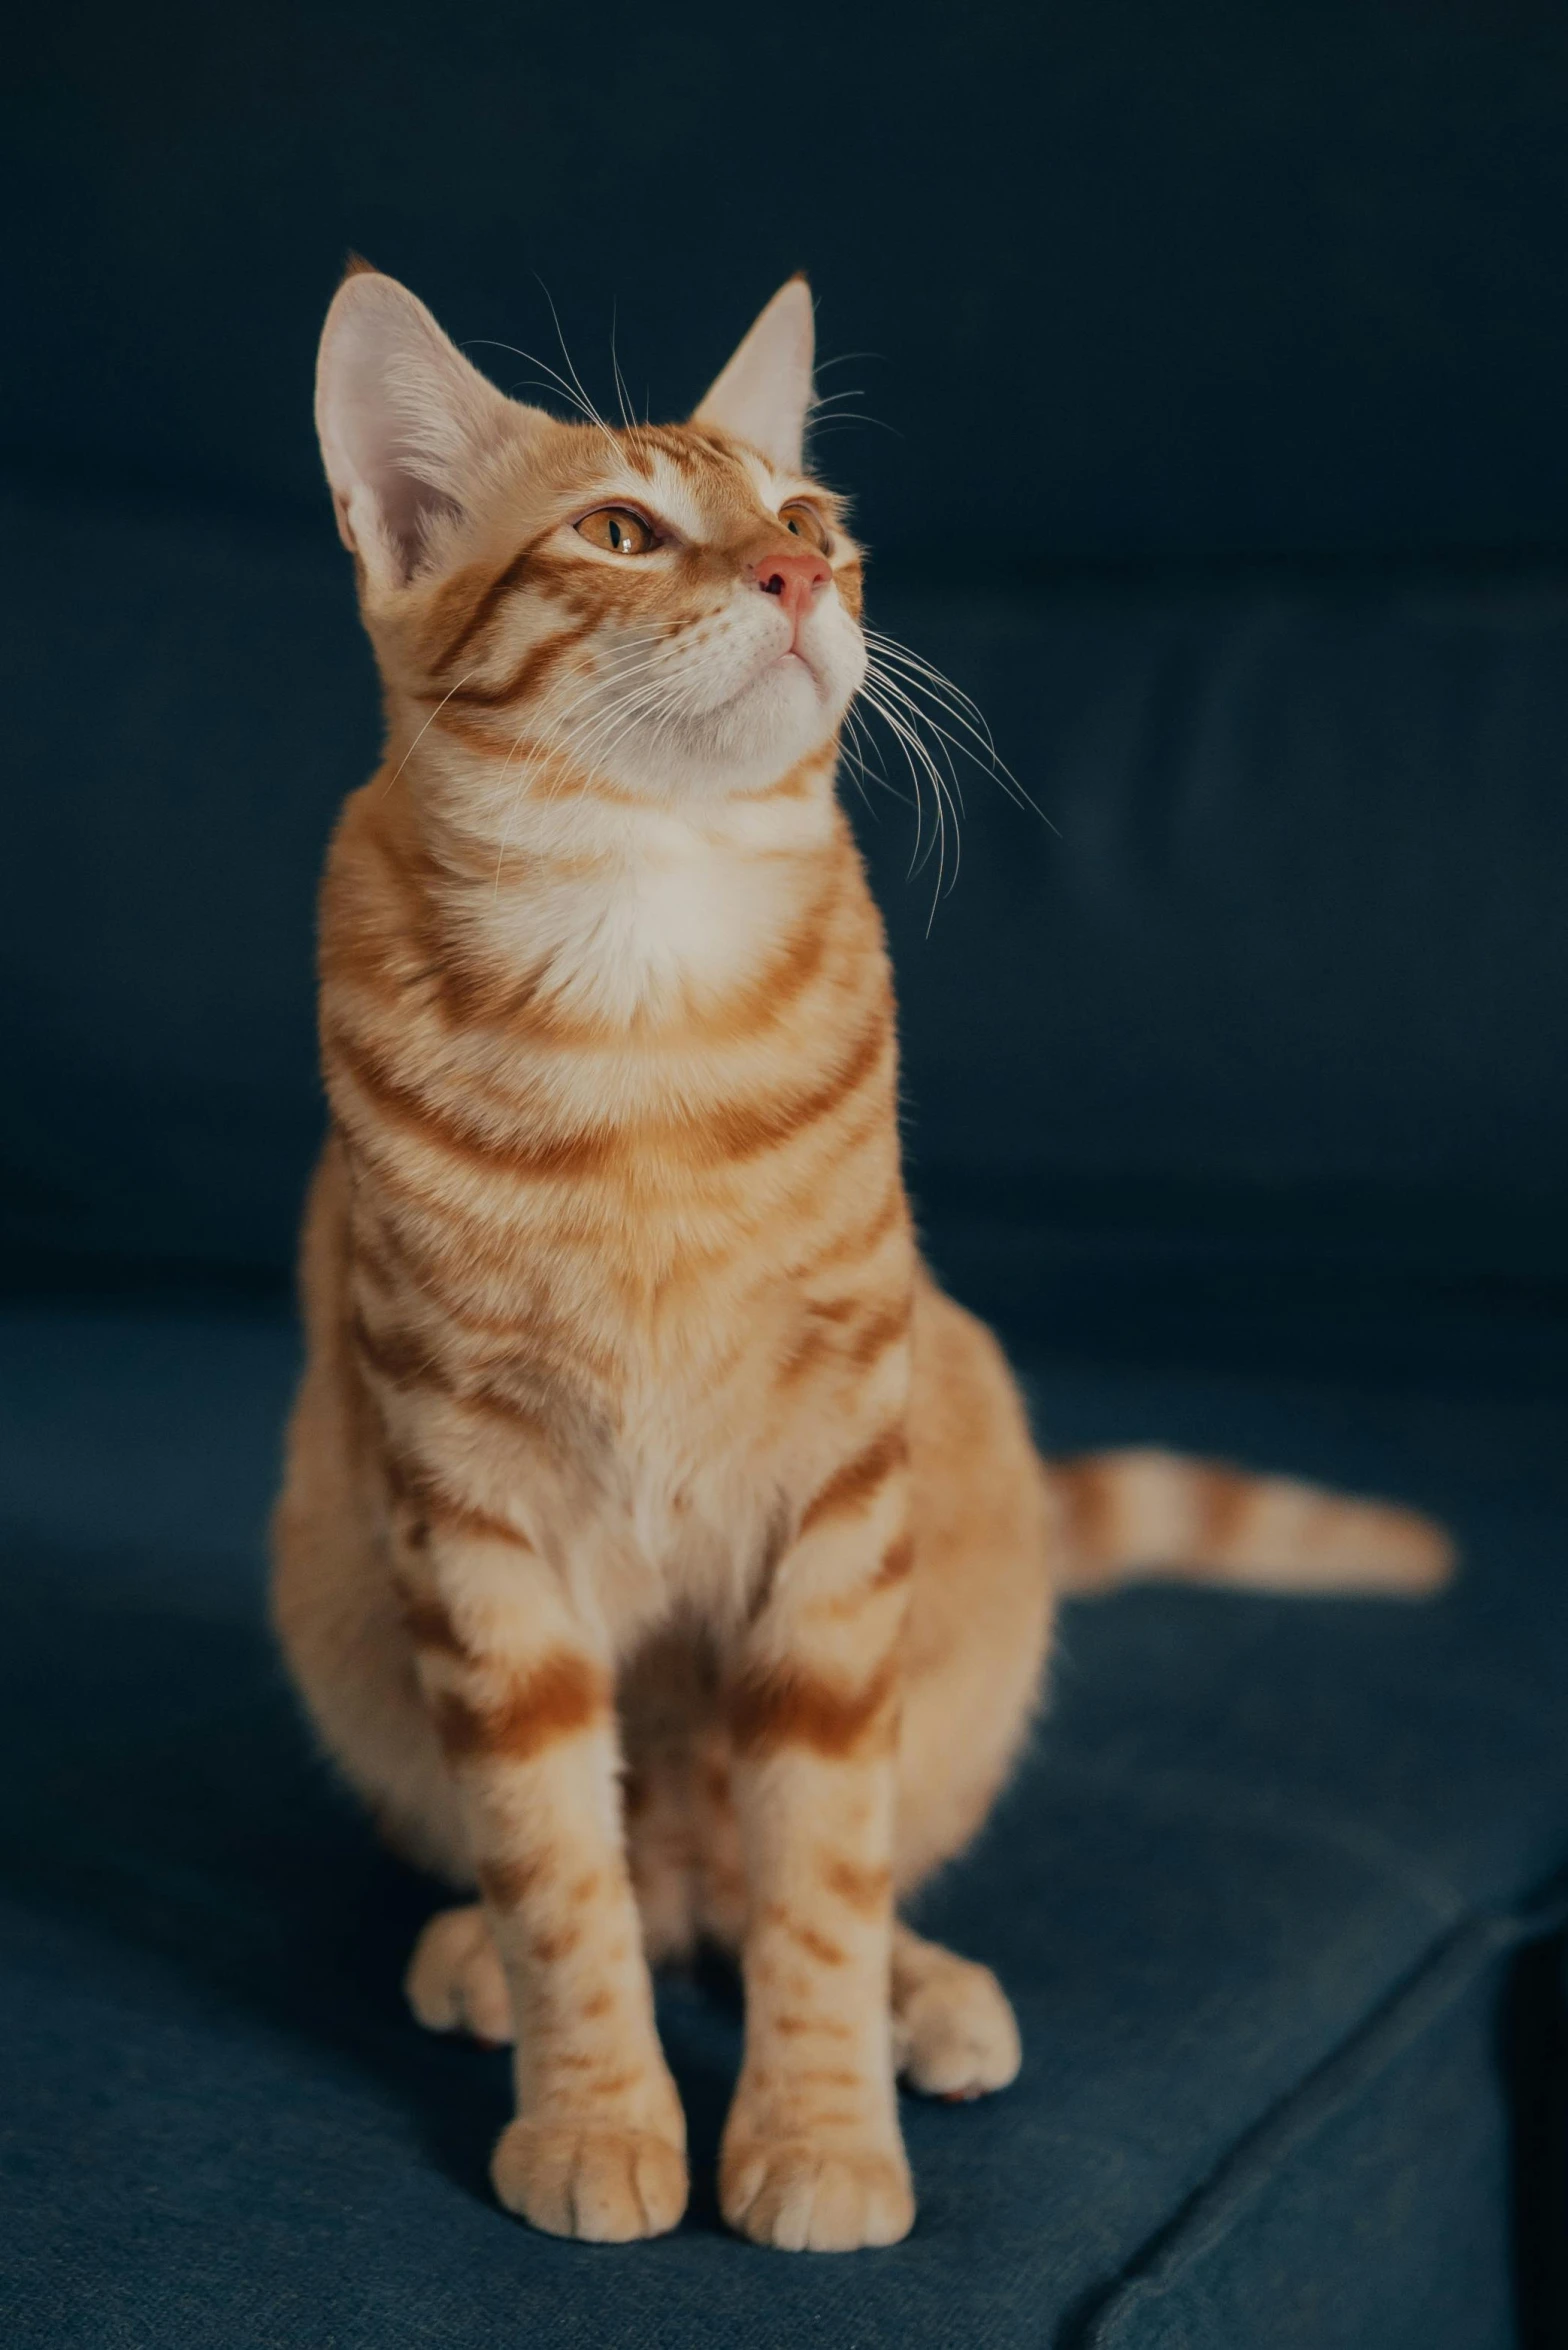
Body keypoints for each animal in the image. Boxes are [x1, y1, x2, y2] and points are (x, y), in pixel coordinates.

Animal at [272, 262, 1457, 2256]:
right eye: (619, 529)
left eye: (810, 516)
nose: (796, 576)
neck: (638, 977)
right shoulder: (466, 1496)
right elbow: (551, 1861)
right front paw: (596, 2107)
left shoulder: (838, 1482)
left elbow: (821, 1860)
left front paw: (818, 2127)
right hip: (337, 1561)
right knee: (621, 1878)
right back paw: (490, 1960)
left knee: (805, 1881)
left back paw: (922, 1992)